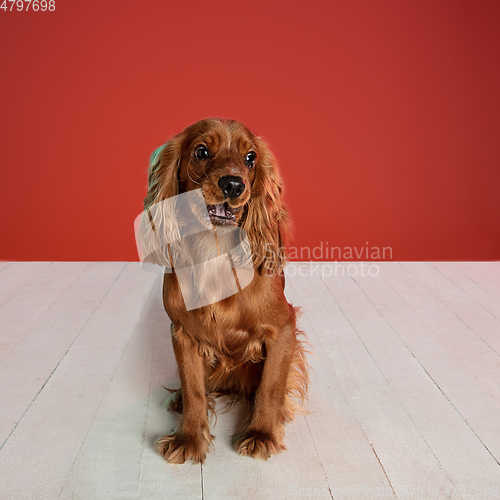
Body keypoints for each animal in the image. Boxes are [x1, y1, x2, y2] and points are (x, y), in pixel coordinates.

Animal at [140, 119, 308, 462]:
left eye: (250, 158)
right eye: (201, 151)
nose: (233, 185)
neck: (214, 251)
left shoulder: (283, 327)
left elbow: (271, 384)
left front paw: (261, 433)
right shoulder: (182, 333)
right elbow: (193, 388)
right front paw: (190, 437)